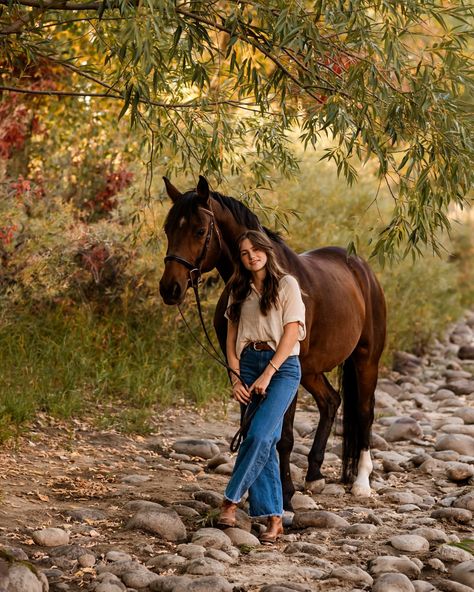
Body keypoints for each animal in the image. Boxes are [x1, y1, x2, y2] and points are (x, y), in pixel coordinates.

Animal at [159, 175, 386, 508]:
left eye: (199, 230)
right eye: (168, 229)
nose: (170, 288)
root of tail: (362, 269)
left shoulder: (281, 370)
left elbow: (285, 437)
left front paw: (286, 495)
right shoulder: (241, 369)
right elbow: (249, 427)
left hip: (365, 359)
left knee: (364, 412)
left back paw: (361, 483)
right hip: (311, 369)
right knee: (331, 401)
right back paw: (314, 475)